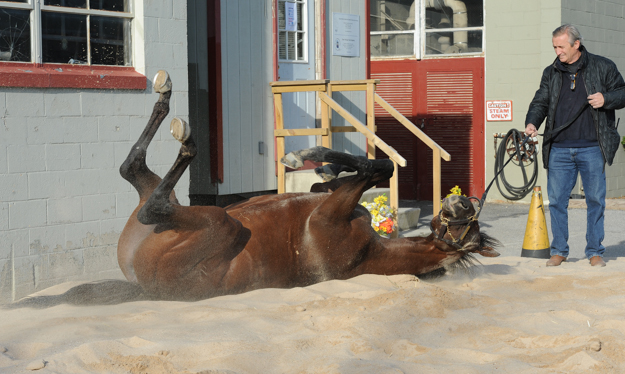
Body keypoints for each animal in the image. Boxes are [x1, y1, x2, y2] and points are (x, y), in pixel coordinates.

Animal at [7, 71, 500, 308]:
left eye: (470, 232)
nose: (460, 204)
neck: (372, 252)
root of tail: (146, 286)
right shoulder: (332, 201)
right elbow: (359, 169)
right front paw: (308, 158)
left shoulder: (330, 215)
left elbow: (375, 169)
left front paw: (305, 157)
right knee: (135, 171)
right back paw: (167, 100)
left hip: (217, 223)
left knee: (153, 200)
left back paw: (185, 136)